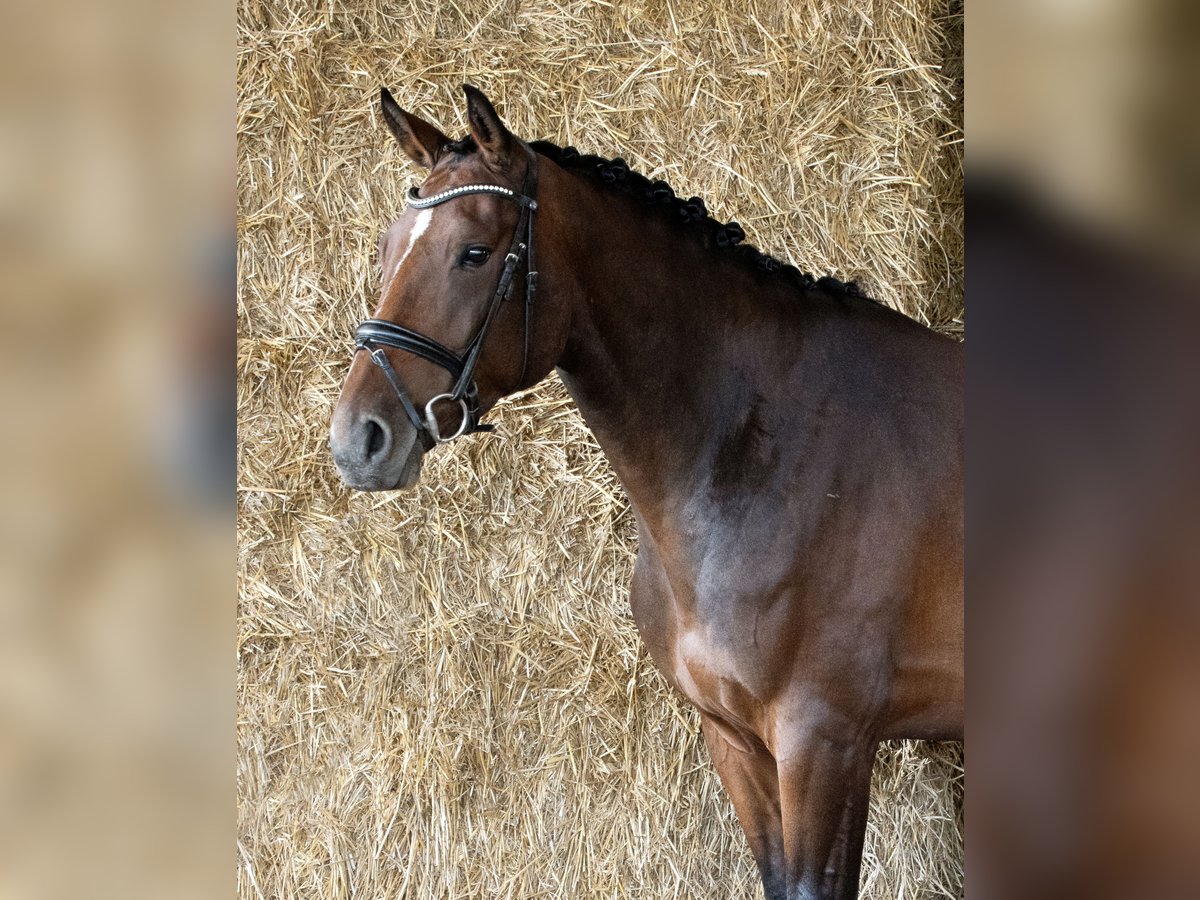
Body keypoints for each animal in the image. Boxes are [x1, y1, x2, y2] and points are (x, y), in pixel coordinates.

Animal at [331, 84, 964, 900]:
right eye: (385, 251)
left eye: (474, 253)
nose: (358, 439)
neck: (758, 453)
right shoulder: (735, 740)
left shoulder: (825, 742)